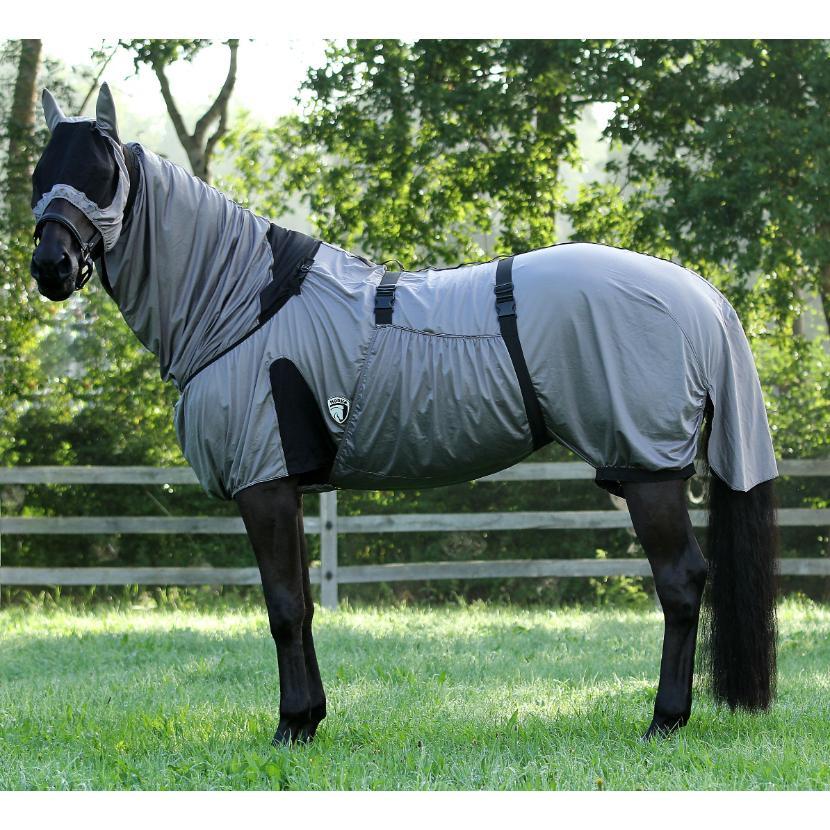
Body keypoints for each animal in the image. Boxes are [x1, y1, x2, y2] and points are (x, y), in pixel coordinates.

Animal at [29, 83, 778, 745]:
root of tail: (700, 295)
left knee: (681, 584)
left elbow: (283, 607)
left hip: (647, 469)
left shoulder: (263, 482)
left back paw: (664, 721)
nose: (50, 268)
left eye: (102, 174)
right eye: (40, 173)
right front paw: (311, 719)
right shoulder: (286, 485)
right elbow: (301, 605)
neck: (242, 302)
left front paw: (290, 726)